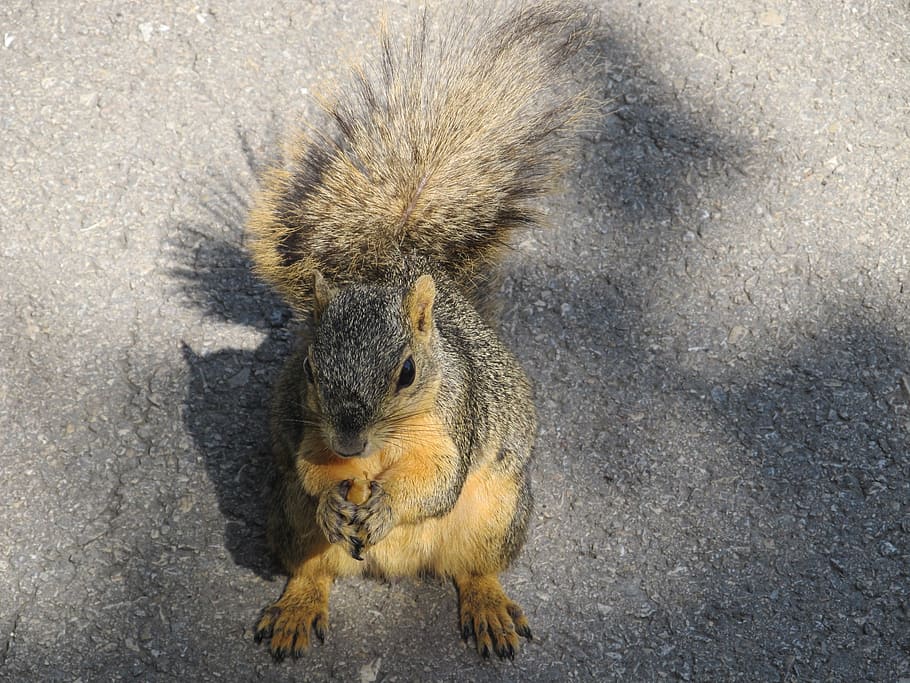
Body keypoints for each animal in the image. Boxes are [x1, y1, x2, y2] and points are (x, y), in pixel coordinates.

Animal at [245, 2, 596, 661]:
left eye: (407, 372)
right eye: (308, 367)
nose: (350, 442)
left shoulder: (453, 422)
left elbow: (436, 482)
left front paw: (387, 505)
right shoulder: (310, 431)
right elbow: (312, 469)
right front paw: (334, 500)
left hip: (498, 511)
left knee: (474, 567)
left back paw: (487, 607)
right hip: (284, 511)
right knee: (310, 567)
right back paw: (297, 606)